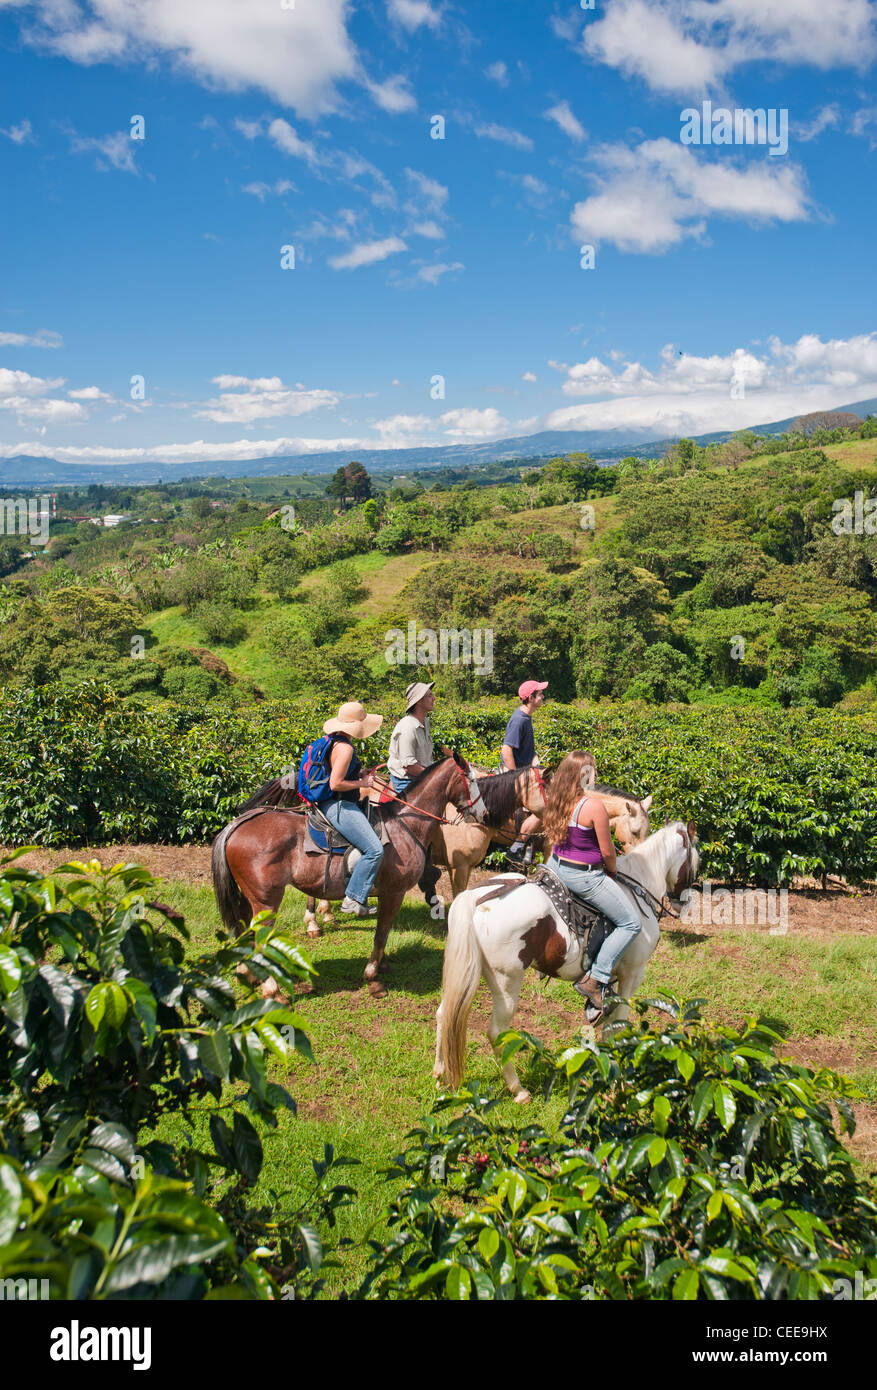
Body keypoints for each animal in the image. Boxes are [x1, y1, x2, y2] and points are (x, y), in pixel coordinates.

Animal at [212, 750, 486, 1000]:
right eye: (471, 779)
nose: (483, 813)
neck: (405, 825)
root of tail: (236, 825)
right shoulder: (394, 892)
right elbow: (381, 933)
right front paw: (373, 977)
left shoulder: (385, 893)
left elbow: (384, 933)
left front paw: (382, 965)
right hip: (266, 901)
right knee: (259, 938)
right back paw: (273, 989)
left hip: (249, 900)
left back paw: (247, 973)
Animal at [433, 817, 700, 1100]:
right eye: (695, 861)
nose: (684, 904)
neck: (638, 887)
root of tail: (475, 899)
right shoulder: (632, 974)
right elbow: (619, 1023)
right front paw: (620, 1080)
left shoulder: (614, 977)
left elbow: (607, 1023)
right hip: (507, 982)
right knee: (496, 1032)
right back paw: (519, 1090)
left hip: (467, 973)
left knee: (444, 1014)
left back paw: (439, 1076)